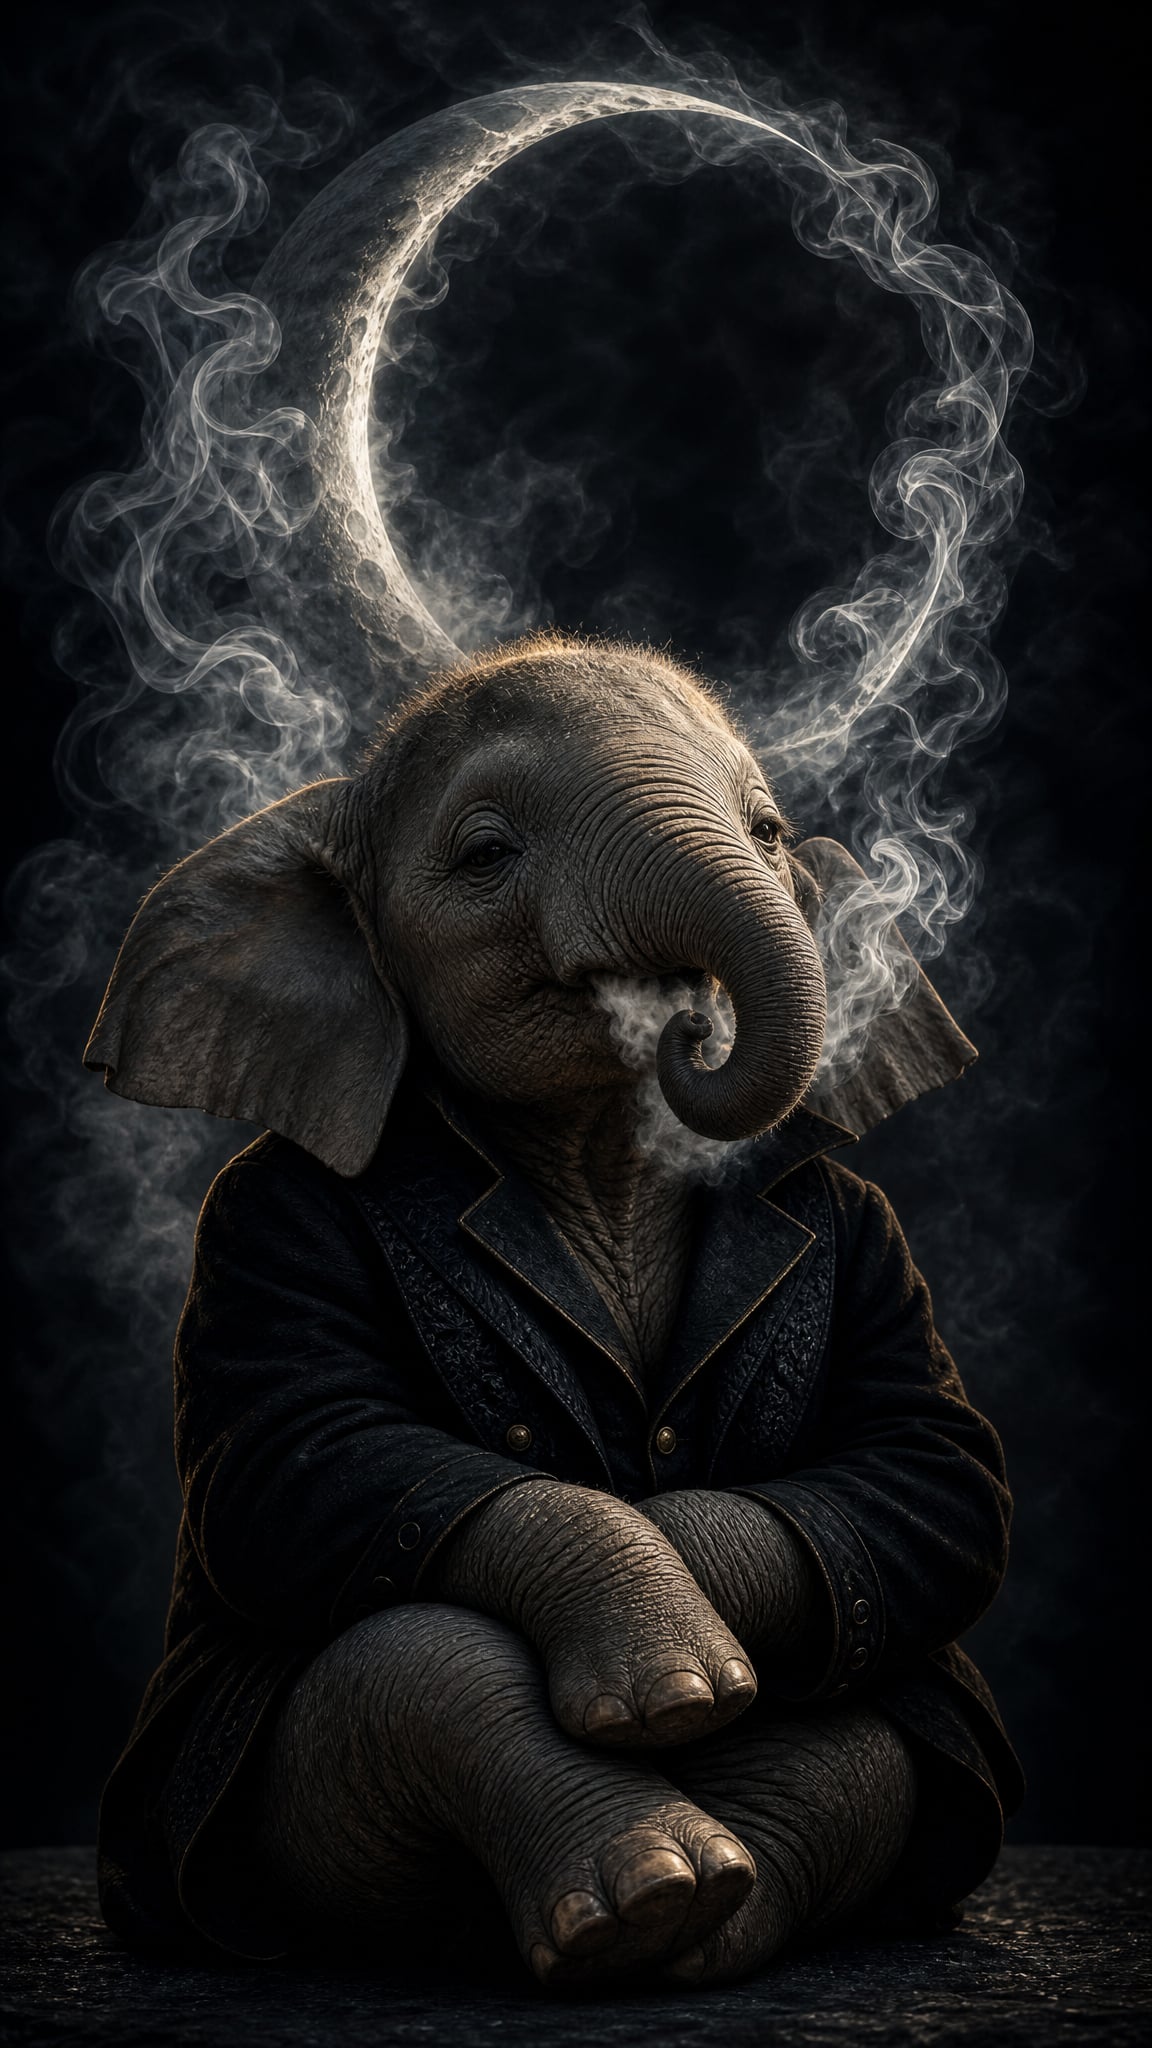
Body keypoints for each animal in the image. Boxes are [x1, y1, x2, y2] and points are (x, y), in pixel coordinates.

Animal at [85, 632, 1020, 1991]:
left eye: (770, 832)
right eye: (485, 853)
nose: (685, 1020)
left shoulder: (872, 1230)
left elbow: (934, 1463)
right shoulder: (262, 1218)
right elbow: (292, 1454)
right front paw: (671, 1684)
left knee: (861, 1727)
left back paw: (705, 1916)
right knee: (412, 1659)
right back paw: (647, 1897)